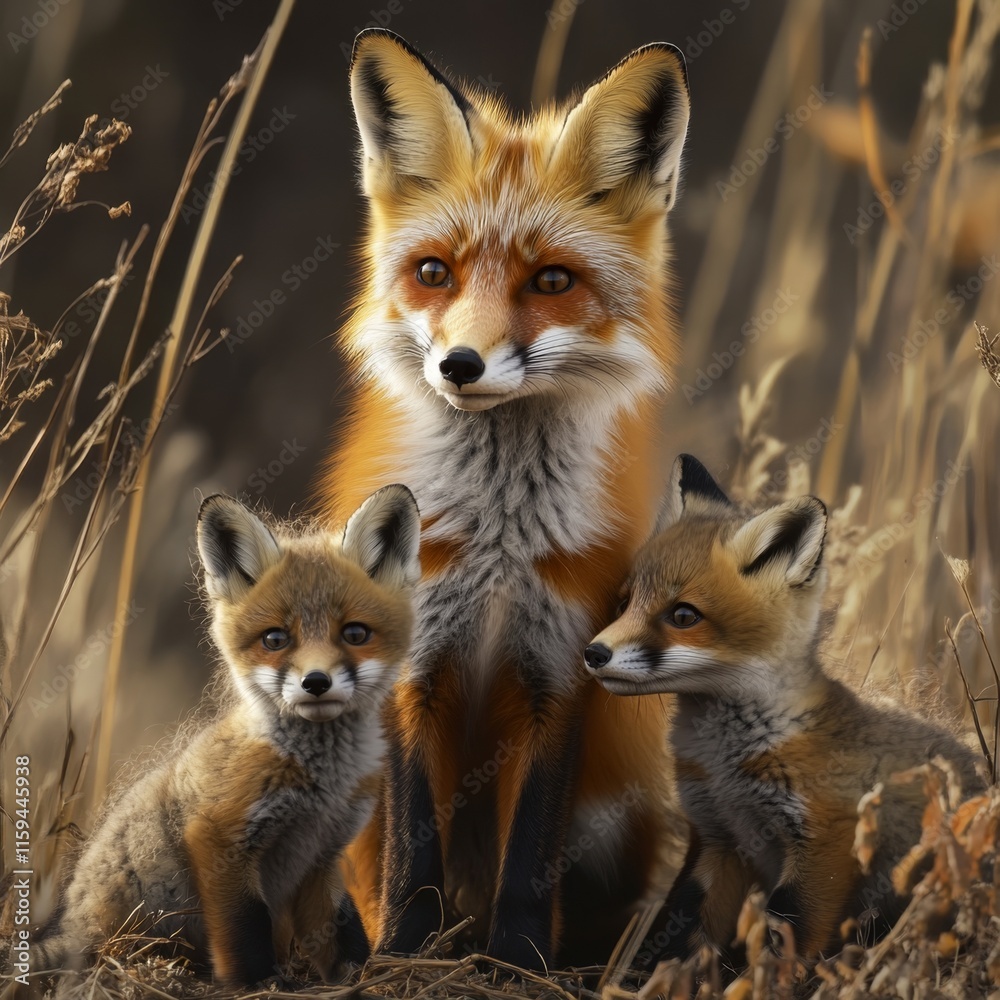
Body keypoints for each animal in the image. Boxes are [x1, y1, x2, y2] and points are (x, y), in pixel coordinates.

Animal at [30, 485, 420, 989]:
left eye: (355, 633)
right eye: (275, 639)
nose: (316, 682)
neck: (320, 785)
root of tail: (70, 926)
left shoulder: (321, 854)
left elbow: (342, 927)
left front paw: (355, 977)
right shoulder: (219, 839)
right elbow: (244, 927)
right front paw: (257, 984)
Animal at [319, 29, 691, 968]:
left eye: (551, 281)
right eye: (434, 273)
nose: (460, 365)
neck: (497, 541)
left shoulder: (562, 666)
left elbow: (530, 853)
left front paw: (519, 962)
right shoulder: (411, 664)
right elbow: (414, 845)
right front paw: (404, 956)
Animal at [583, 454, 986, 970]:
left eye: (683, 616)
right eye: (624, 603)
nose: (593, 653)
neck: (728, 764)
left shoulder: (826, 842)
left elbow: (788, 936)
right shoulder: (717, 837)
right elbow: (684, 929)